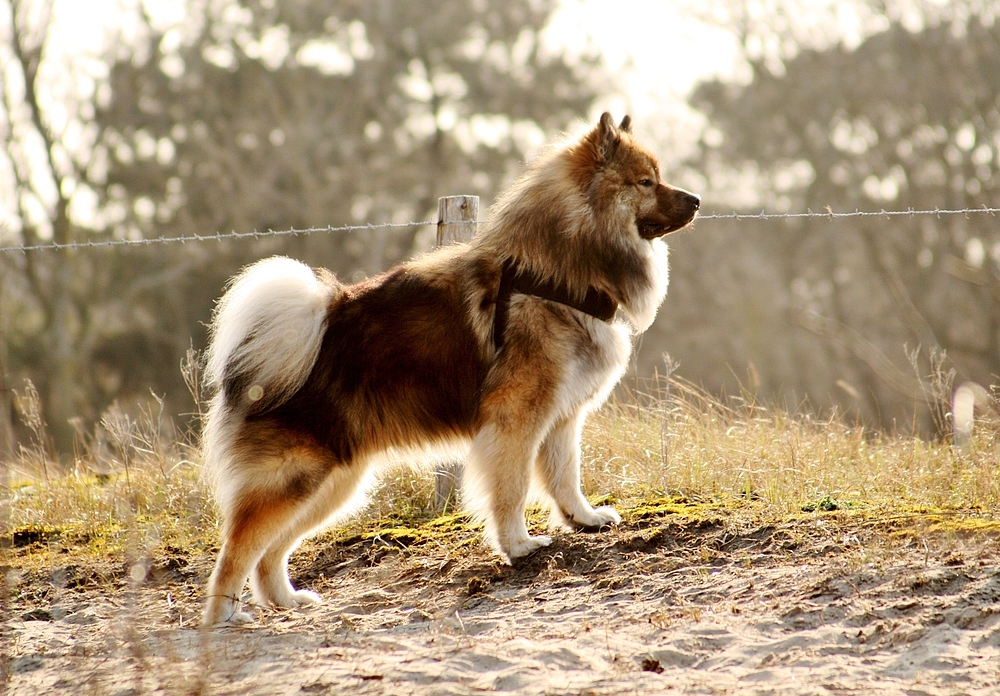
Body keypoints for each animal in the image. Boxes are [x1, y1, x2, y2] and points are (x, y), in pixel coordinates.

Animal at [201, 114, 704, 624]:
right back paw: (224, 617)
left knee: (270, 551)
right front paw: (519, 545)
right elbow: (513, 488)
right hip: (296, 477)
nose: (697, 200)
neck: (556, 271)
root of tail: (304, 329)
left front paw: (584, 519)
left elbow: (566, 476)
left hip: (333, 482)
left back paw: (285, 601)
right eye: (646, 182)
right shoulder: (516, 420)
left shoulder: (562, 416)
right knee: (237, 551)